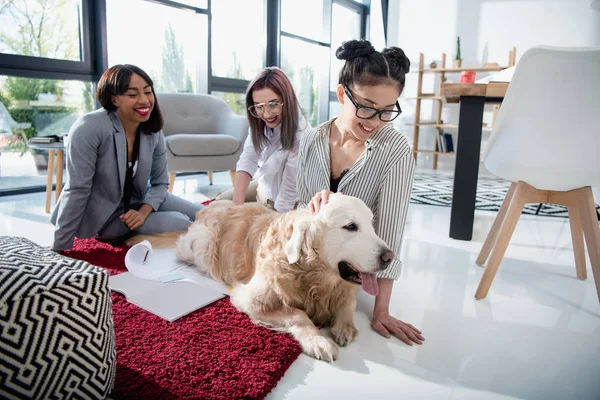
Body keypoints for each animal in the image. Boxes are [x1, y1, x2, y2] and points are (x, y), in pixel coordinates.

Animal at [127, 194, 394, 362]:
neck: (314, 276)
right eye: (350, 227)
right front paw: (317, 340)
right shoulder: (249, 298)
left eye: (371, 224)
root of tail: (206, 207)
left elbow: (347, 303)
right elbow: (298, 314)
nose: (389, 257)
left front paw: (345, 326)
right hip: (200, 246)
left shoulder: (343, 287)